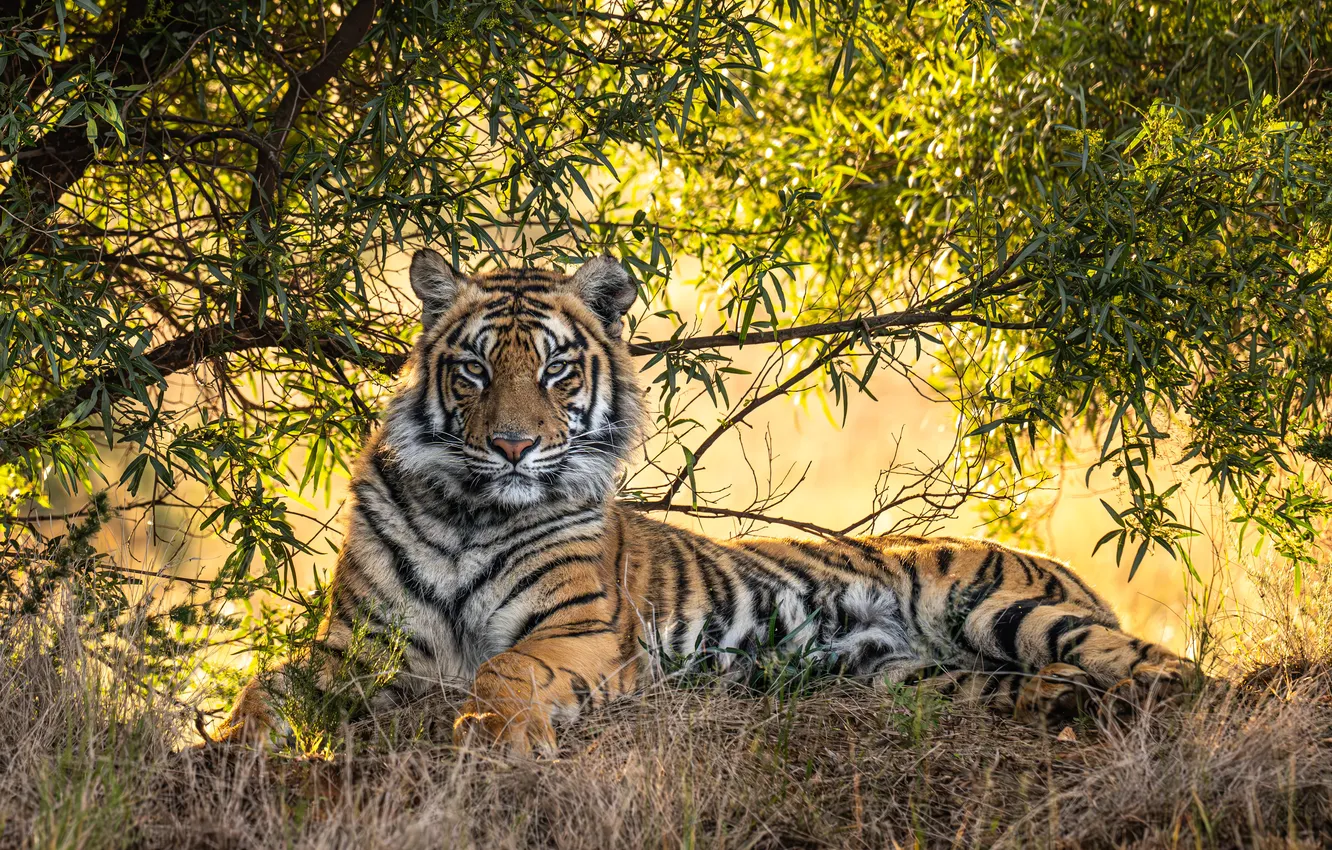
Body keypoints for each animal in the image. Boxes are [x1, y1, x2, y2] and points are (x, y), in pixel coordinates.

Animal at [217, 249, 1197, 754]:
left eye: (555, 369)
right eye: (475, 370)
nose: (513, 445)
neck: (468, 509)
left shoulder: (578, 627)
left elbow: (505, 672)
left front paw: (495, 737)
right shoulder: (357, 642)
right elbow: (269, 685)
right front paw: (231, 746)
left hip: (1000, 606)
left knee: (1168, 669)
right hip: (909, 676)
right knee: (1034, 683)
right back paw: (1063, 707)